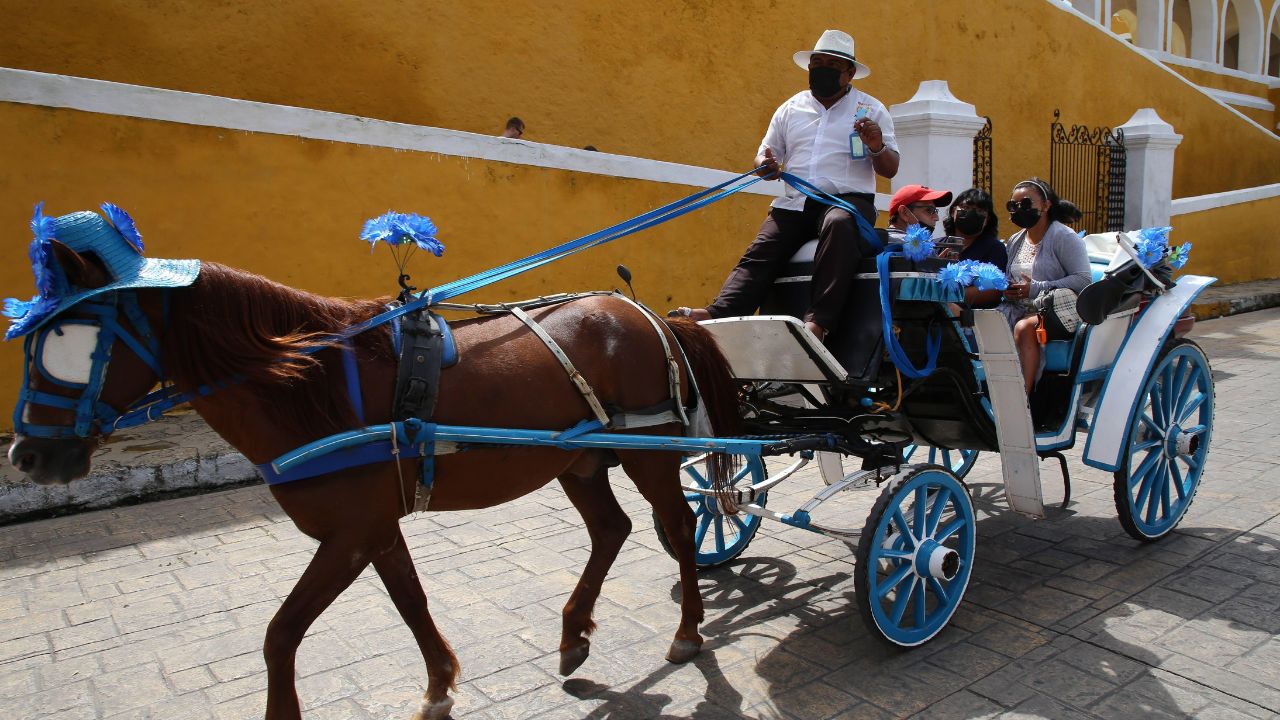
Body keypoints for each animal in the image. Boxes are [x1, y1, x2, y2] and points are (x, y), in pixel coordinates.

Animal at [7, 242, 742, 717]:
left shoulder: (351, 534)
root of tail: (648, 315)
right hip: (581, 461)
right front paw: (440, 685)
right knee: (612, 530)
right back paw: (573, 635)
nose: (26, 456)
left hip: (652, 450)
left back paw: (688, 630)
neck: (310, 386)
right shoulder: (373, 528)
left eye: (71, 338)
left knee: (679, 526)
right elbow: (410, 602)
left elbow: (280, 634)